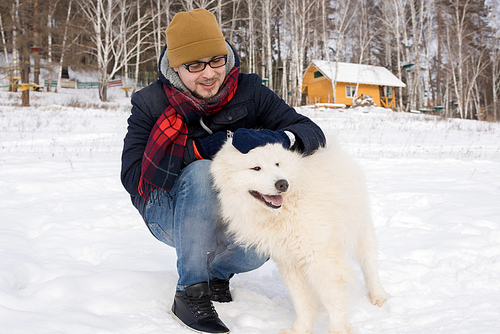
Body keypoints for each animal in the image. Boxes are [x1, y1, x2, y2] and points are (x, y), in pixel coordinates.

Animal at [209, 141, 388, 334]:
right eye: (256, 168)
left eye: (277, 164)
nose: (282, 184)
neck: (284, 211)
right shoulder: (288, 261)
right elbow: (301, 301)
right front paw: (300, 329)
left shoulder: (319, 257)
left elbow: (332, 297)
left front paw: (337, 329)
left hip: (361, 230)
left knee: (369, 264)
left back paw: (378, 296)